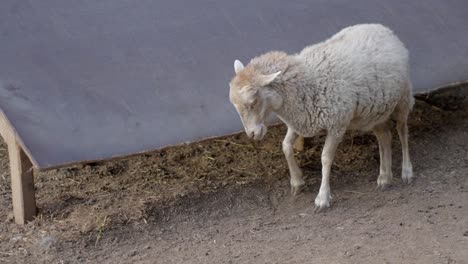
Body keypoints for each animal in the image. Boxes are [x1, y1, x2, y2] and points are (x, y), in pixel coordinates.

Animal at [229, 23, 414, 209]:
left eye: (253, 101)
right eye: (234, 105)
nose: (252, 134)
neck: (306, 83)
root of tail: (382, 28)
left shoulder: (337, 125)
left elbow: (325, 158)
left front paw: (322, 197)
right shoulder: (299, 120)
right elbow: (285, 146)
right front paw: (297, 182)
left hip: (403, 98)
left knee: (402, 131)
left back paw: (406, 171)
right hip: (373, 112)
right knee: (385, 136)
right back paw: (384, 177)